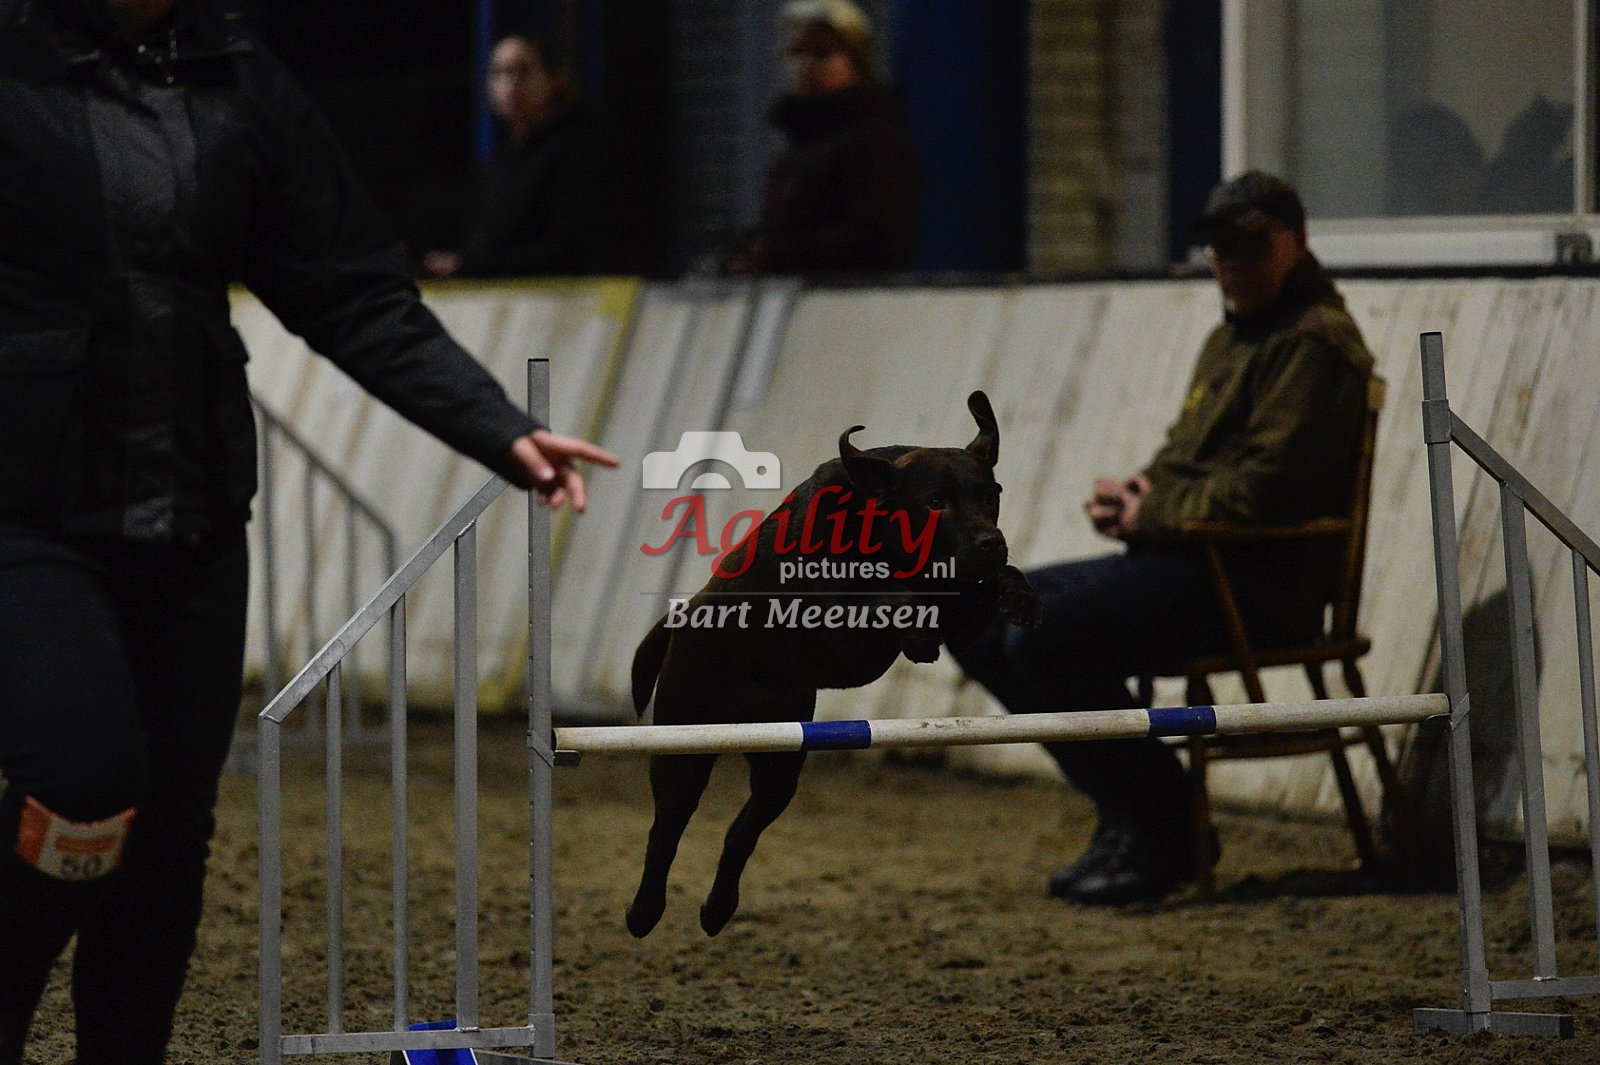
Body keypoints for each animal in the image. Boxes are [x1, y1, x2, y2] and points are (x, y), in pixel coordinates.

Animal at [625, 391, 1041, 937]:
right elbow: (886, 590)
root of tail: (682, 618)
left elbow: (978, 589)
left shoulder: (961, 612)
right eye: (935, 502)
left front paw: (1018, 594)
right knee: (666, 831)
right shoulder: (846, 629)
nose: (992, 542)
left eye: (990, 494)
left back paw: (717, 910)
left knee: (742, 831)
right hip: (685, 746)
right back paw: (644, 913)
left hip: (781, 763)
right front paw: (916, 629)